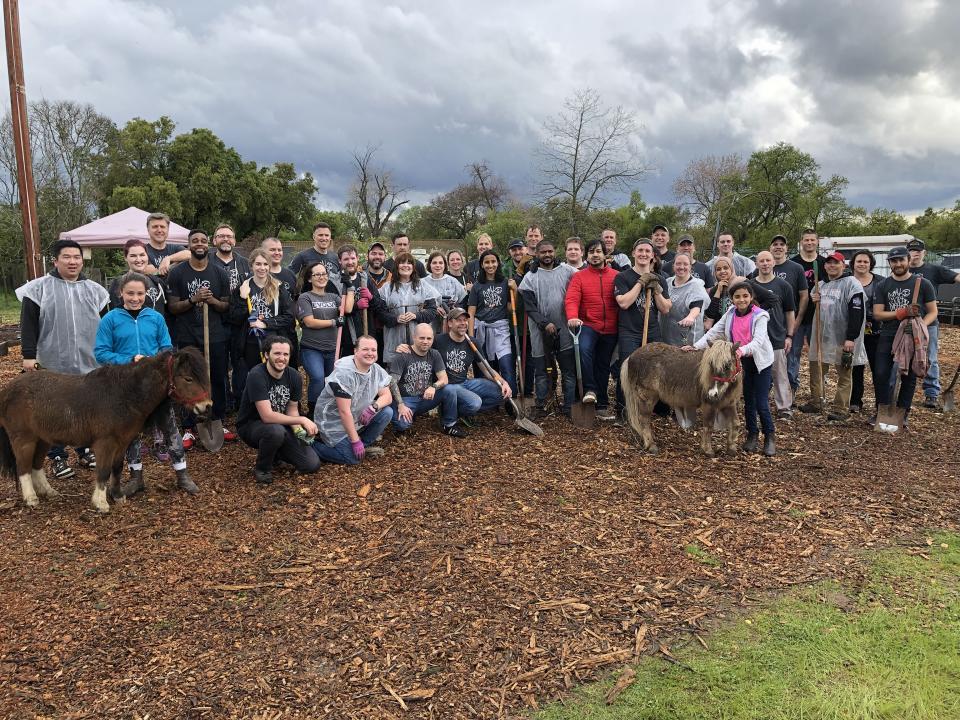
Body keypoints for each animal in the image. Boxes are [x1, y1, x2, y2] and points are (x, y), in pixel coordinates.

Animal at [0, 348, 211, 512]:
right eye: (188, 378)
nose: (207, 406)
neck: (124, 395)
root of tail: (7, 391)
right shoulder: (105, 443)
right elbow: (103, 470)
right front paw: (101, 503)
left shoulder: (123, 442)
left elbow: (116, 469)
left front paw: (117, 495)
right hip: (24, 439)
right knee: (23, 467)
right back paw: (31, 498)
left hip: (42, 439)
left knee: (35, 466)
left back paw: (49, 492)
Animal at [620, 342, 748, 456]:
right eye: (710, 364)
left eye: (727, 365)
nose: (712, 394)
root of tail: (631, 356)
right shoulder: (709, 405)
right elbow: (709, 426)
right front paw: (707, 450)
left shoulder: (728, 404)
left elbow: (735, 423)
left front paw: (731, 448)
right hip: (647, 397)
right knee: (644, 419)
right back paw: (651, 445)